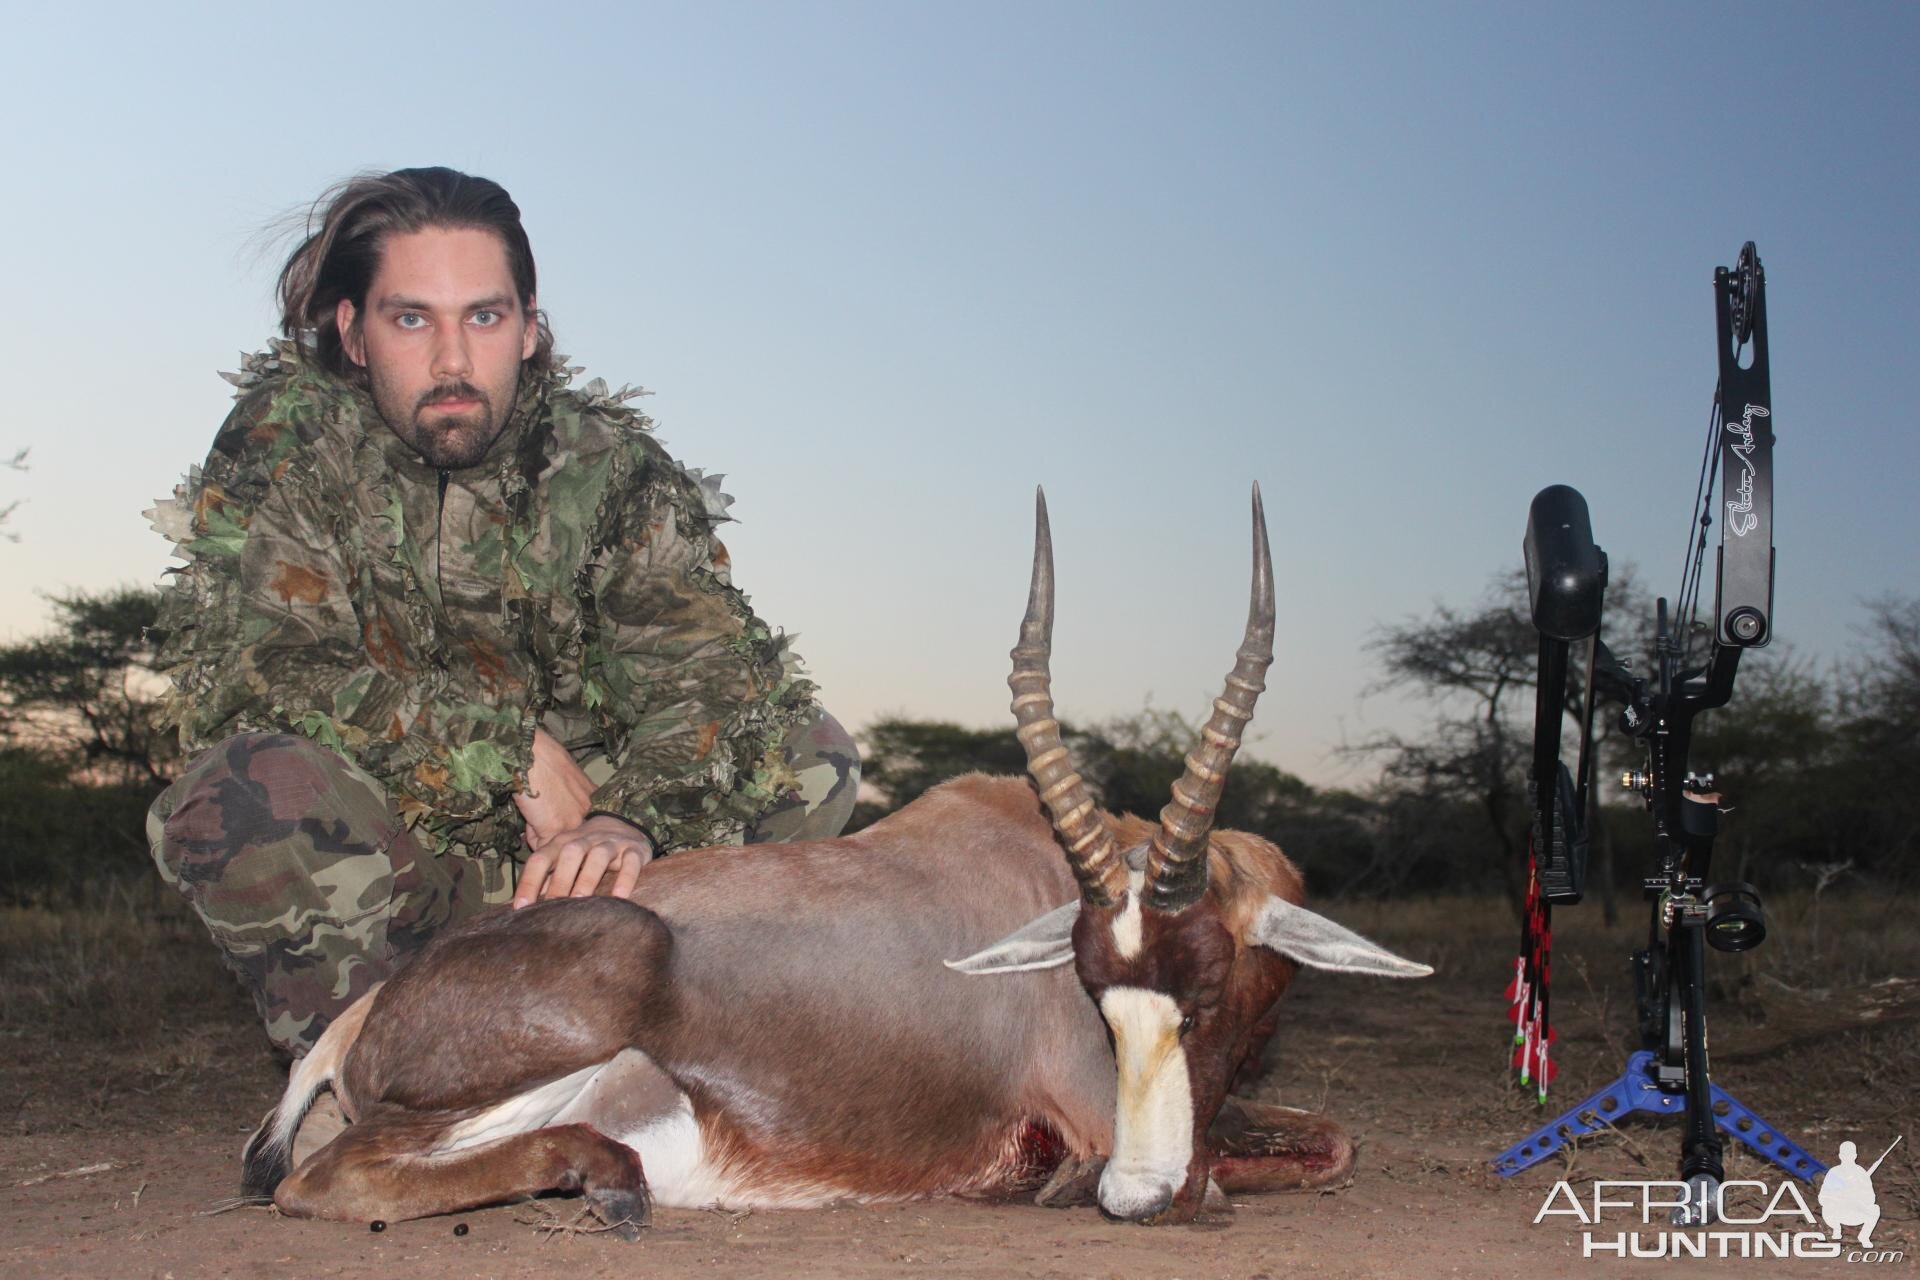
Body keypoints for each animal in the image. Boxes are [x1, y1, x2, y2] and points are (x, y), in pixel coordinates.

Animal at [243, 483, 1428, 1228]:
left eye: (1209, 984)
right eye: (1095, 991)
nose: (1137, 1196)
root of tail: (361, 1016)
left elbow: (1336, 1139)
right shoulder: (1098, 1110)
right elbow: (1252, 1165)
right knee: (331, 1179)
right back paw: (609, 1183)